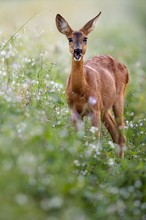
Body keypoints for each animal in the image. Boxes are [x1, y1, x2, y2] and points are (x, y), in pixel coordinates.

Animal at [55, 12, 128, 157]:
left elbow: (95, 141)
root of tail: (124, 66)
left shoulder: (94, 109)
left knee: (122, 134)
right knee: (114, 132)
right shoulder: (74, 111)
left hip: (118, 98)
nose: (77, 51)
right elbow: (78, 140)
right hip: (104, 107)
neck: (80, 91)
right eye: (69, 39)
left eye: (85, 39)